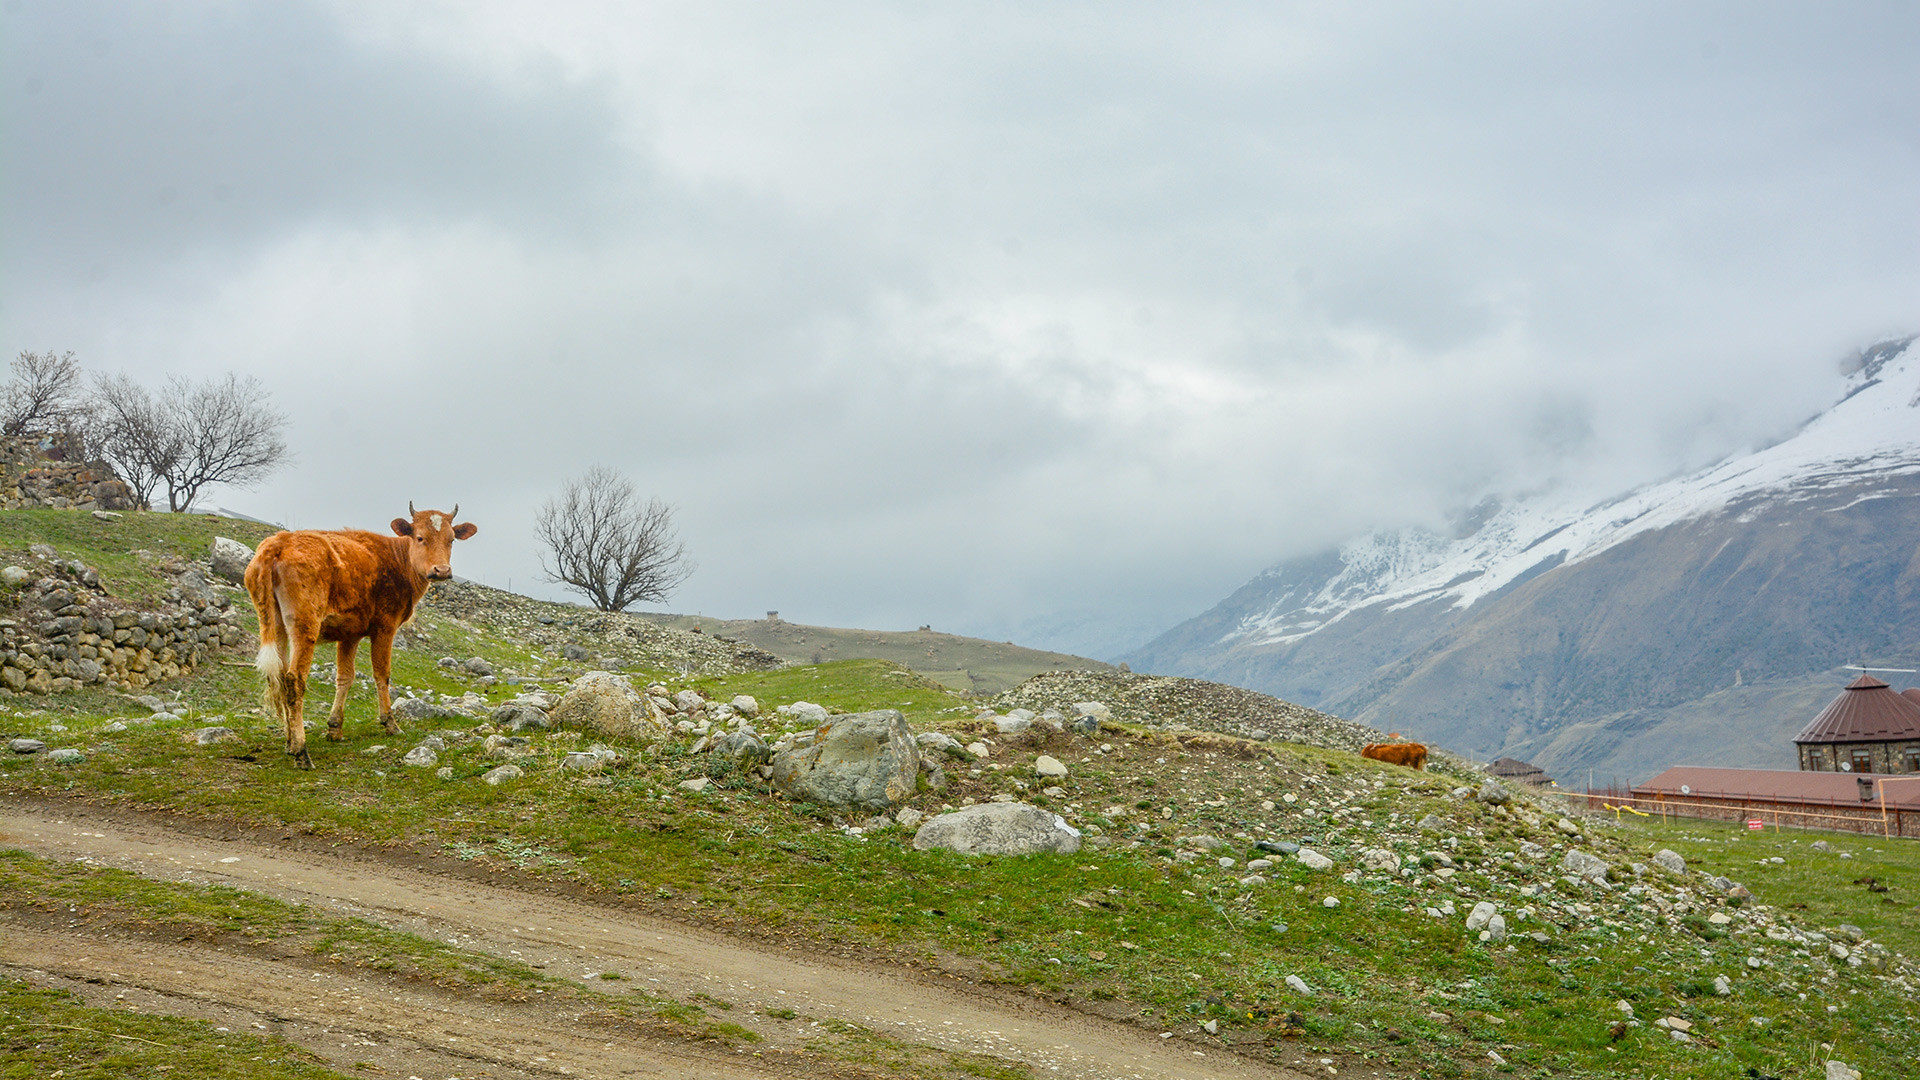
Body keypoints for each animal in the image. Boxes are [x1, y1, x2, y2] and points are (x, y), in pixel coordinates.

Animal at [245, 503, 478, 764]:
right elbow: (382, 674)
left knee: (278, 676)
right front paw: (390, 723)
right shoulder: (385, 626)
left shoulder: (350, 632)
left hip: (275, 624)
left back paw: (289, 742)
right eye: (420, 537)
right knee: (294, 679)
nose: (442, 570)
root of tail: (280, 541)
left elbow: (345, 677)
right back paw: (301, 750)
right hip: (305, 624)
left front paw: (335, 728)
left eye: (452, 539)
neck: (399, 561)